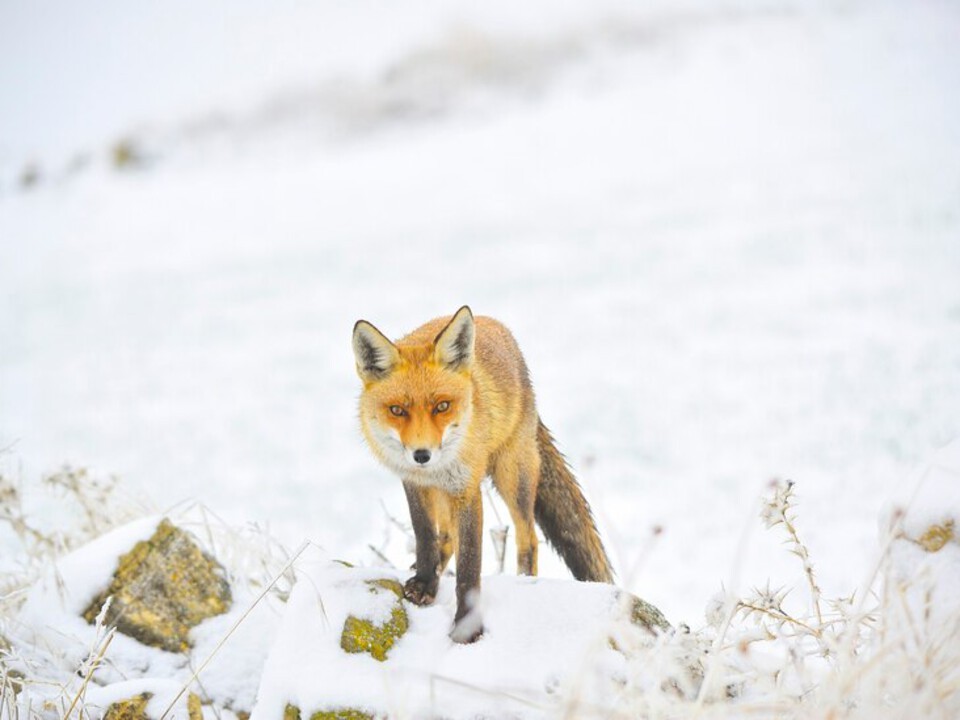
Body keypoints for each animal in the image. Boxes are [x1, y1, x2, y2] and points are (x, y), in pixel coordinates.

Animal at [354, 304, 616, 640]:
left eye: (442, 406)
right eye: (397, 410)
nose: (422, 455)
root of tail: (493, 323)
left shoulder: (467, 489)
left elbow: (469, 565)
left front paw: (467, 627)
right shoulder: (414, 482)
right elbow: (425, 536)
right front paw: (426, 582)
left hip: (512, 476)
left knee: (528, 539)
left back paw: (524, 582)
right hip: (448, 492)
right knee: (446, 536)